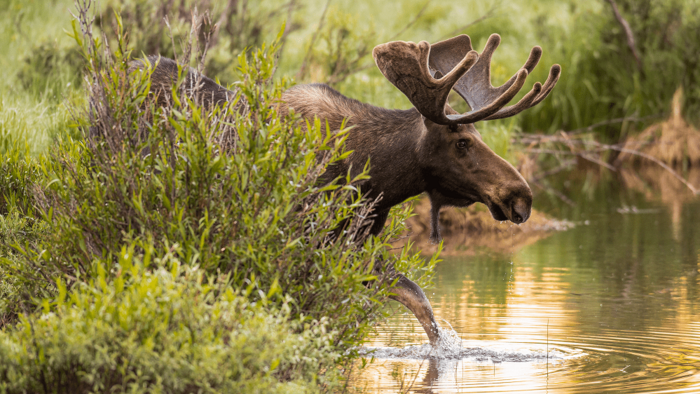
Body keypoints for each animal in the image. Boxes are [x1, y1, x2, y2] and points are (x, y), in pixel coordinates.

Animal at [134, 35, 560, 346]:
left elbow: (419, 301)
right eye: (461, 143)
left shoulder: (355, 244)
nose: (521, 196)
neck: (377, 178)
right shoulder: (303, 237)